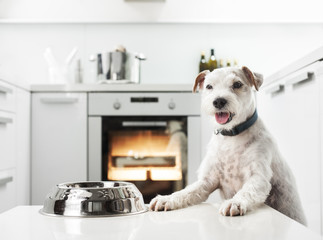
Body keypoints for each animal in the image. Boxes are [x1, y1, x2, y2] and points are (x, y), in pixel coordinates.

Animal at [151, 66, 308, 225]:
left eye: (237, 84)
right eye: (209, 86)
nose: (219, 101)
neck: (231, 137)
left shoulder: (258, 177)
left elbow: (246, 191)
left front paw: (235, 203)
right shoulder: (207, 180)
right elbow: (187, 191)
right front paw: (167, 198)